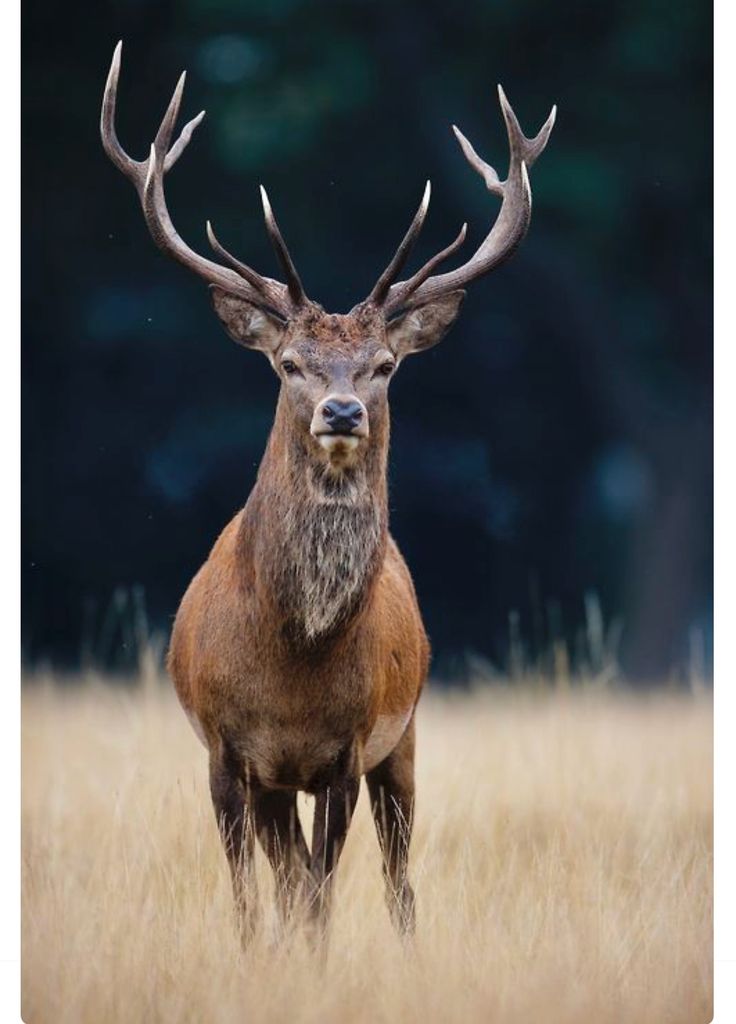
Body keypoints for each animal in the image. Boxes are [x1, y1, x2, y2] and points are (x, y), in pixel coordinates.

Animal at [100, 41, 555, 939]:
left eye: (383, 365)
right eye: (288, 363)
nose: (342, 410)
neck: (293, 662)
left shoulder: (347, 751)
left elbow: (320, 898)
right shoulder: (227, 753)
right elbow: (254, 901)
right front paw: (256, 956)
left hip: (404, 740)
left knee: (397, 879)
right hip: (283, 783)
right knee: (286, 877)